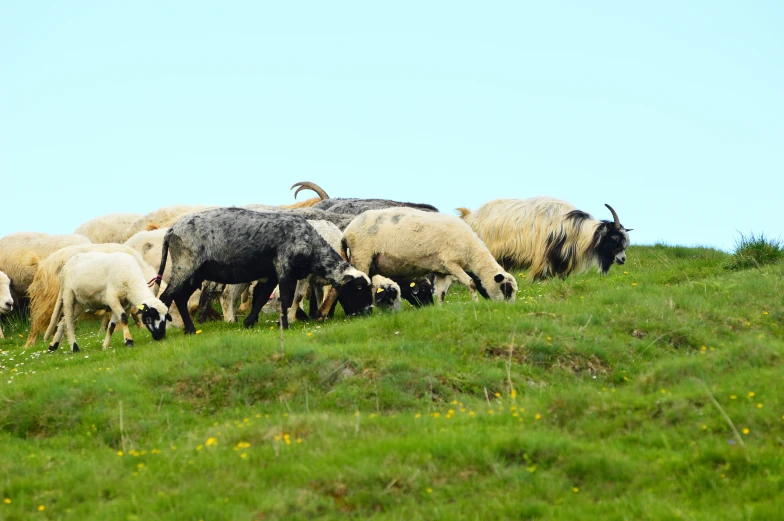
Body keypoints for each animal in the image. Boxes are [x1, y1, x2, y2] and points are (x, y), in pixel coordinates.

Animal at [155, 206, 374, 330]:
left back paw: (190, 330)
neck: (311, 245)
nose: (368, 312)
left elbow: (261, 298)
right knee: (165, 297)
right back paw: (160, 334)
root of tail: (171, 231)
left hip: (196, 273)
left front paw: (249, 323)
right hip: (185, 266)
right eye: (359, 288)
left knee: (179, 298)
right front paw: (284, 325)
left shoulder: (273, 273)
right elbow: (286, 298)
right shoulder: (283, 267)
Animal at [340, 207, 516, 302]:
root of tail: (347, 232)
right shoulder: (451, 263)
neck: (471, 252)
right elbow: (471, 283)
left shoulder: (441, 270)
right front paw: (476, 303)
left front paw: (440, 308)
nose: (509, 308)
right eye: (507, 289)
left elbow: (441, 293)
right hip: (362, 256)